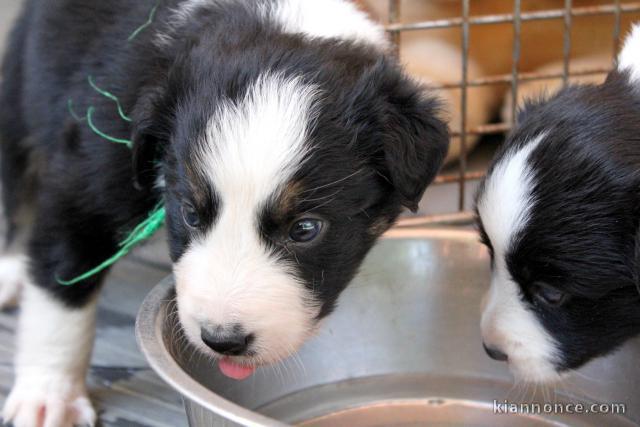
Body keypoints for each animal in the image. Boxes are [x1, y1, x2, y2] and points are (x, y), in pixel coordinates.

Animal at [0, 0, 448, 426]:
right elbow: (60, 290)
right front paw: (48, 397)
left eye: (305, 228)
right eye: (190, 213)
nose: (222, 340)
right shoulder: (88, 181)